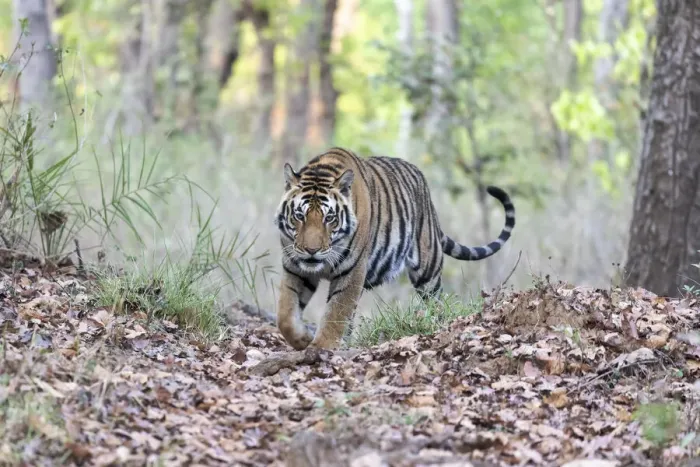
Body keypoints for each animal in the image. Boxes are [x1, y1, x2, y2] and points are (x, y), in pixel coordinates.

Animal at [274, 147, 515, 350]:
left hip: (427, 272)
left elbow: (336, 311)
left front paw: (320, 347)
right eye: (299, 216)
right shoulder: (295, 267)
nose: (311, 250)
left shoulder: (352, 272)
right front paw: (302, 339)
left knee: (438, 302)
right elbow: (285, 314)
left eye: (329, 218)